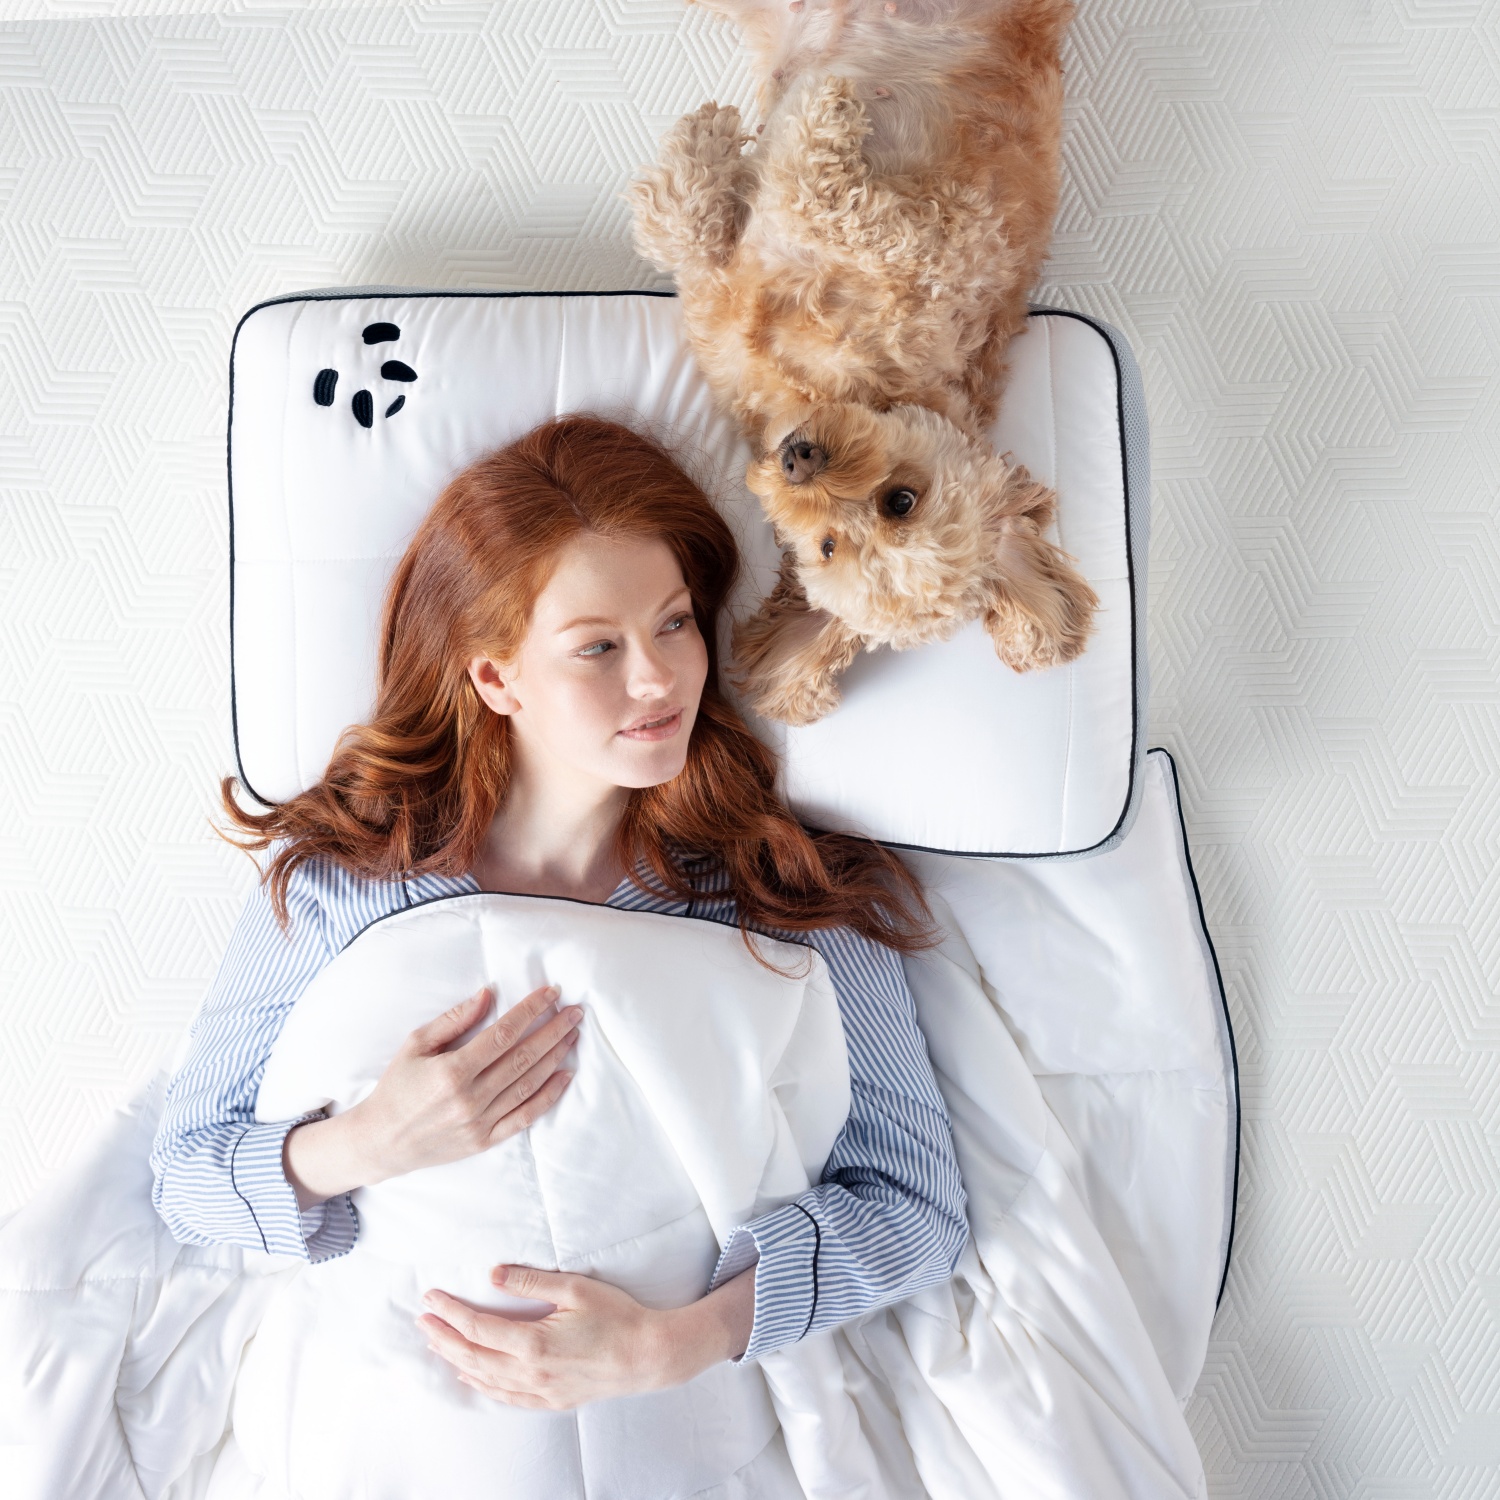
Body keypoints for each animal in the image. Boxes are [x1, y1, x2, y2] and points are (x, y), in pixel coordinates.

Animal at [627, 0, 1098, 726]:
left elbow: (814, 196)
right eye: (902, 499)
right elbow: (682, 221)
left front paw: (813, 112)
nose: (799, 461)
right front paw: (715, 141)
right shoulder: (725, 284)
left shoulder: (922, 243)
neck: (829, 384)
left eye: (829, 545)